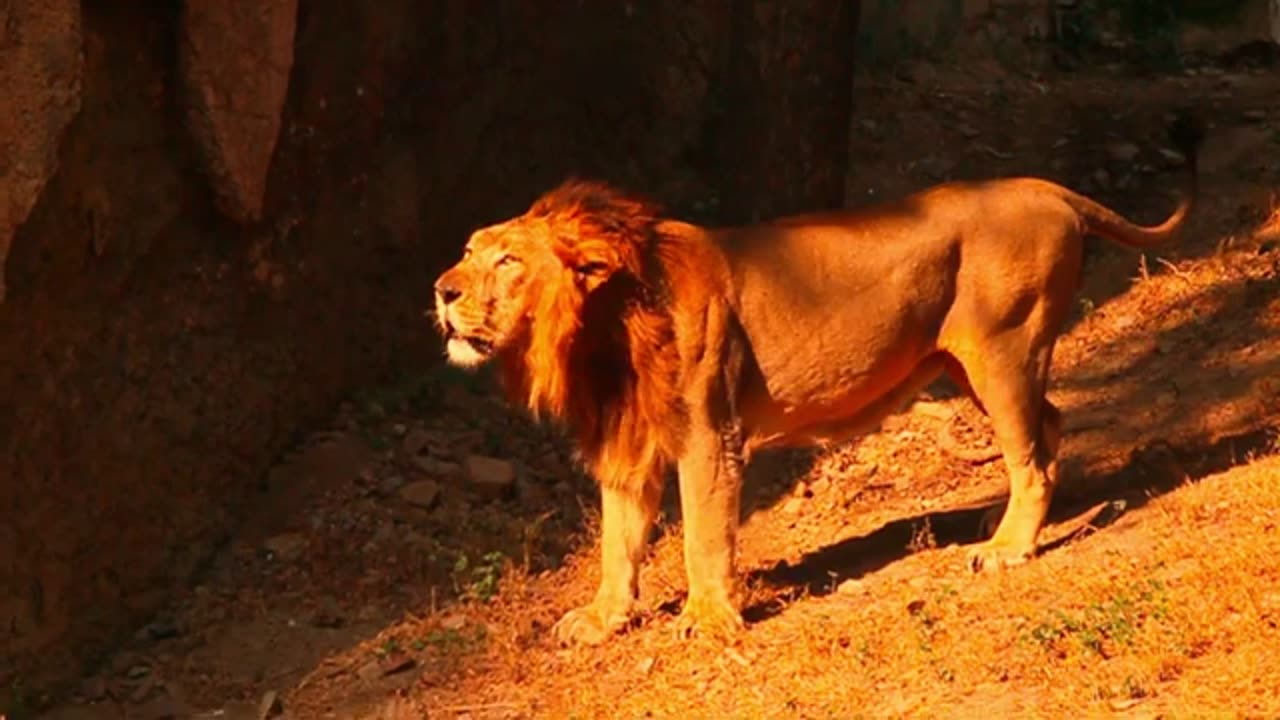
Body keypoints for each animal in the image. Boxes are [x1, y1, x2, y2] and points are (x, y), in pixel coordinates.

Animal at [431, 116, 1203, 646]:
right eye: (467, 251)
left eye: (507, 261)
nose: (440, 291)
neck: (602, 329)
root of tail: (1046, 187)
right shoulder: (629, 444)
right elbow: (618, 543)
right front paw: (602, 620)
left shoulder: (709, 436)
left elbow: (702, 534)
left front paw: (708, 619)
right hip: (974, 366)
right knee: (1050, 425)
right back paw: (1005, 522)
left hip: (1002, 351)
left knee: (1032, 451)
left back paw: (1008, 547)